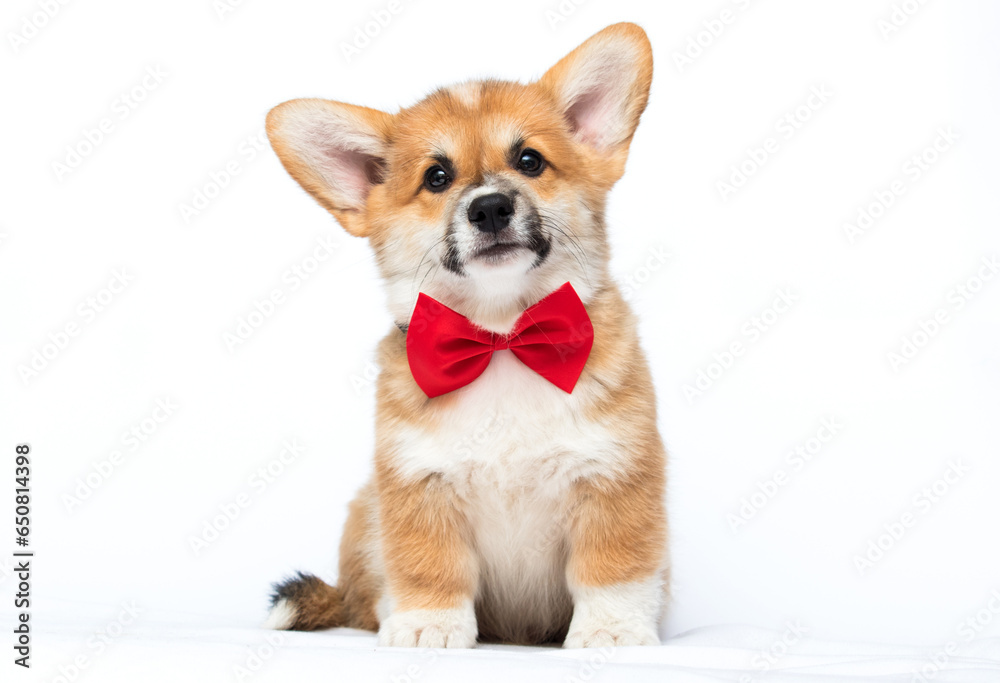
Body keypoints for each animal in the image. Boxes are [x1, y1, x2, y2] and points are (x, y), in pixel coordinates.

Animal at [266, 21, 668, 648]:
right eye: (437, 177)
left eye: (530, 160)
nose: (491, 207)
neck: (501, 338)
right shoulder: (419, 484)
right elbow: (430, 567)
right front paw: (427, 626)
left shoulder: (616, 476)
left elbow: (614, 569)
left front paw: (611, 631)